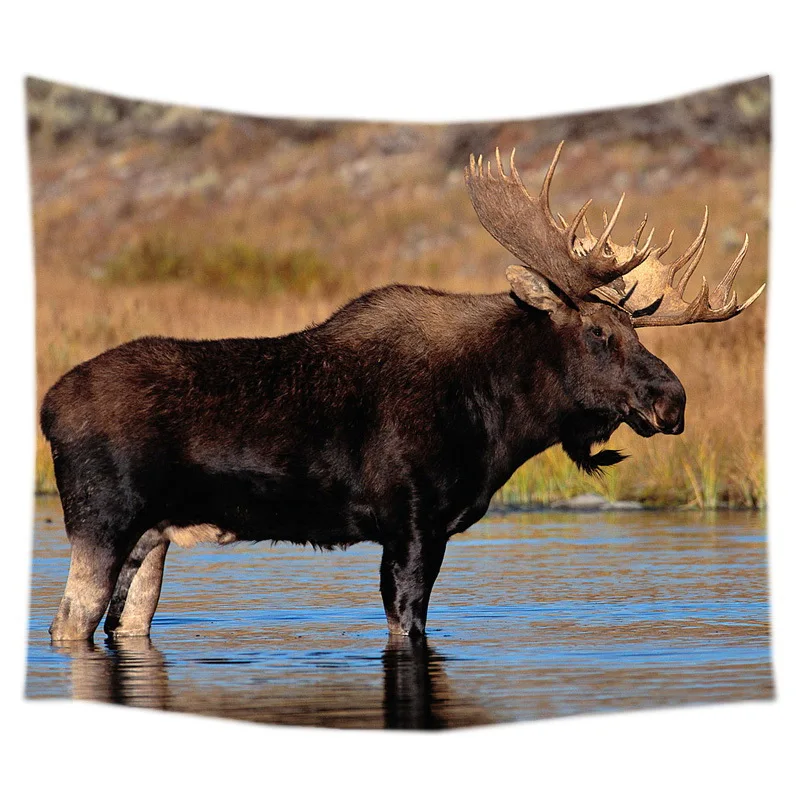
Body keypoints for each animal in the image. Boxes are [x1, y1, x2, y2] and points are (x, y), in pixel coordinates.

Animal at [41, 142, 765, 641]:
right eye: (597, 330)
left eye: (634, 328)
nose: (673, 401)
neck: (498, 420)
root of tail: (47, 407)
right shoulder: (414, 523)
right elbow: (407, 623)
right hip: (103, 519)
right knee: (68, 621)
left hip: (153, 538)